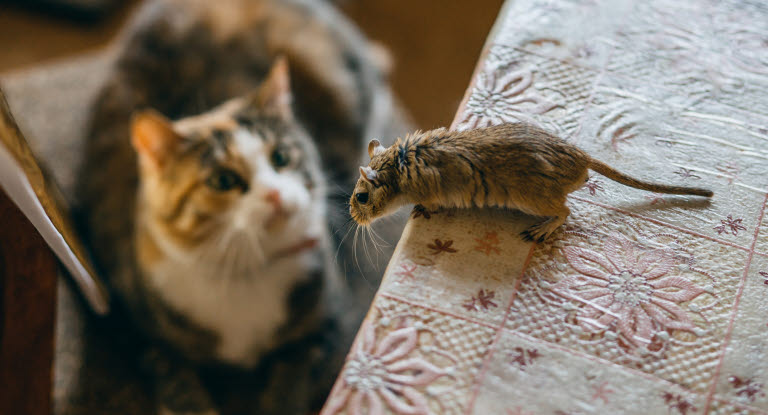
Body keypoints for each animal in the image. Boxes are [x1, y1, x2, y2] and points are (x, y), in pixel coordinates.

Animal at [73, 0, 408, 415]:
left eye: (281, 157)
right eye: (223, 181)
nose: (274, 195)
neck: (246, 266)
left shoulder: (321, 328)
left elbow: (288, 389)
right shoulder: (142, 336)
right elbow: (182, 392)